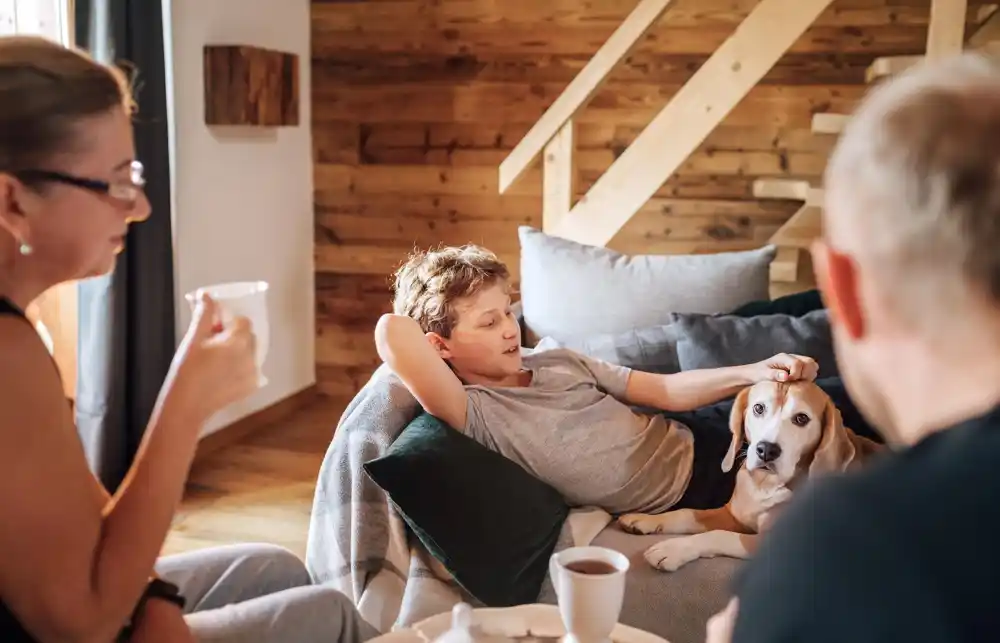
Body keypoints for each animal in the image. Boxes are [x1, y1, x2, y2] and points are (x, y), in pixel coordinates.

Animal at [616, 380, 884, 572]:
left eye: (801, 418)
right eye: (758, 408)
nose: (766, 450)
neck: (765, 485)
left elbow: (717, 535)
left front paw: (674, 549)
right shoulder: (732, 515)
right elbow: (686, 513)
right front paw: (646, 520)